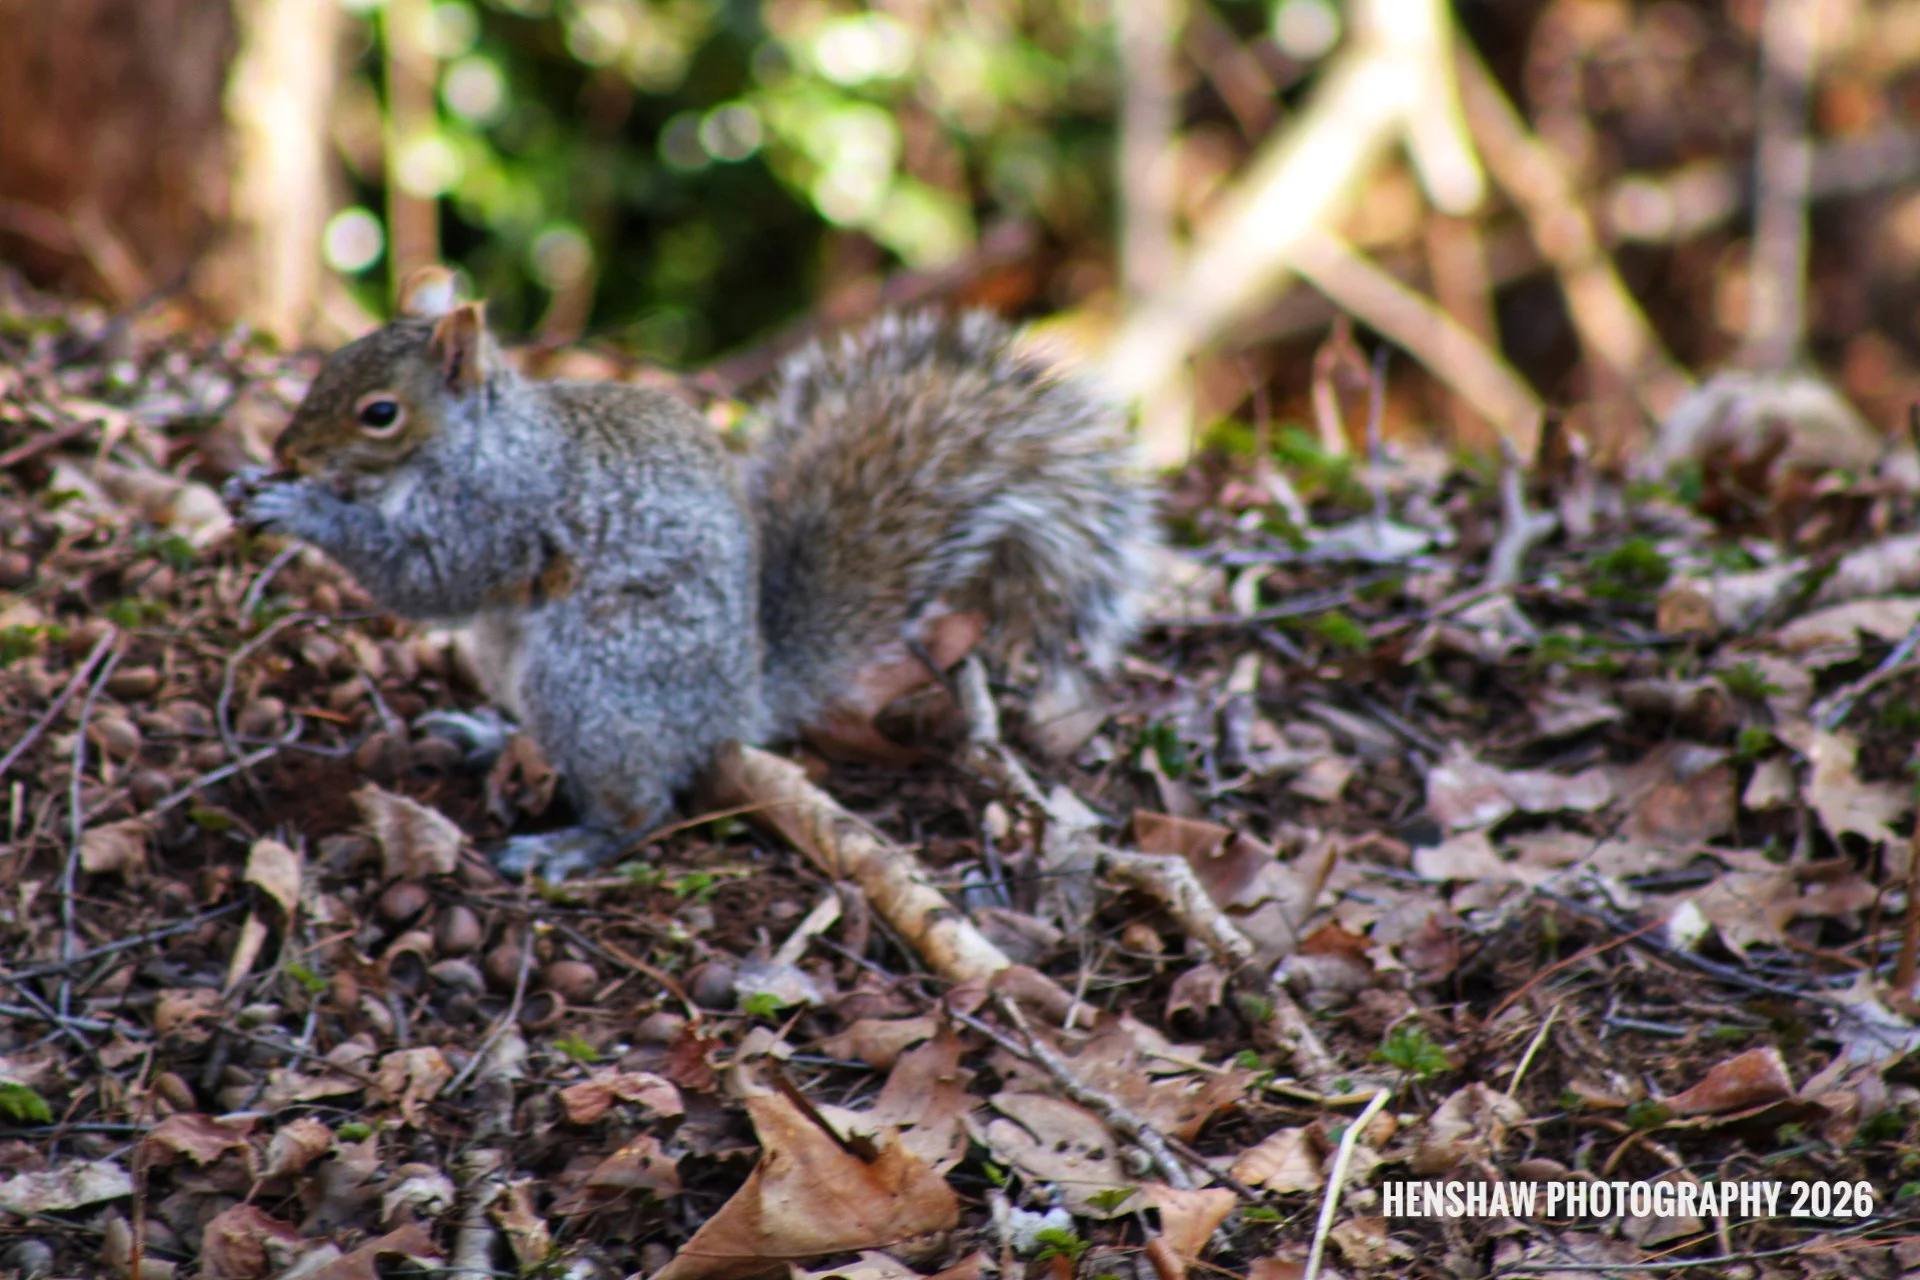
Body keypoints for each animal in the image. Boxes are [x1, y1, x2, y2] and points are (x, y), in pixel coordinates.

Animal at [231, 266, 1159, 877]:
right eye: (329, 362)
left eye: (379, 413)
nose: (287, 450)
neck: (479, 442)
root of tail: (738, 701)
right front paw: (256, 486)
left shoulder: (500, 513)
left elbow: (429, 578)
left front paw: (302, 509)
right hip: (514, 661)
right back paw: (492, 738)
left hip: (601, 678)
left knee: (642, 806)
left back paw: (572, 844)